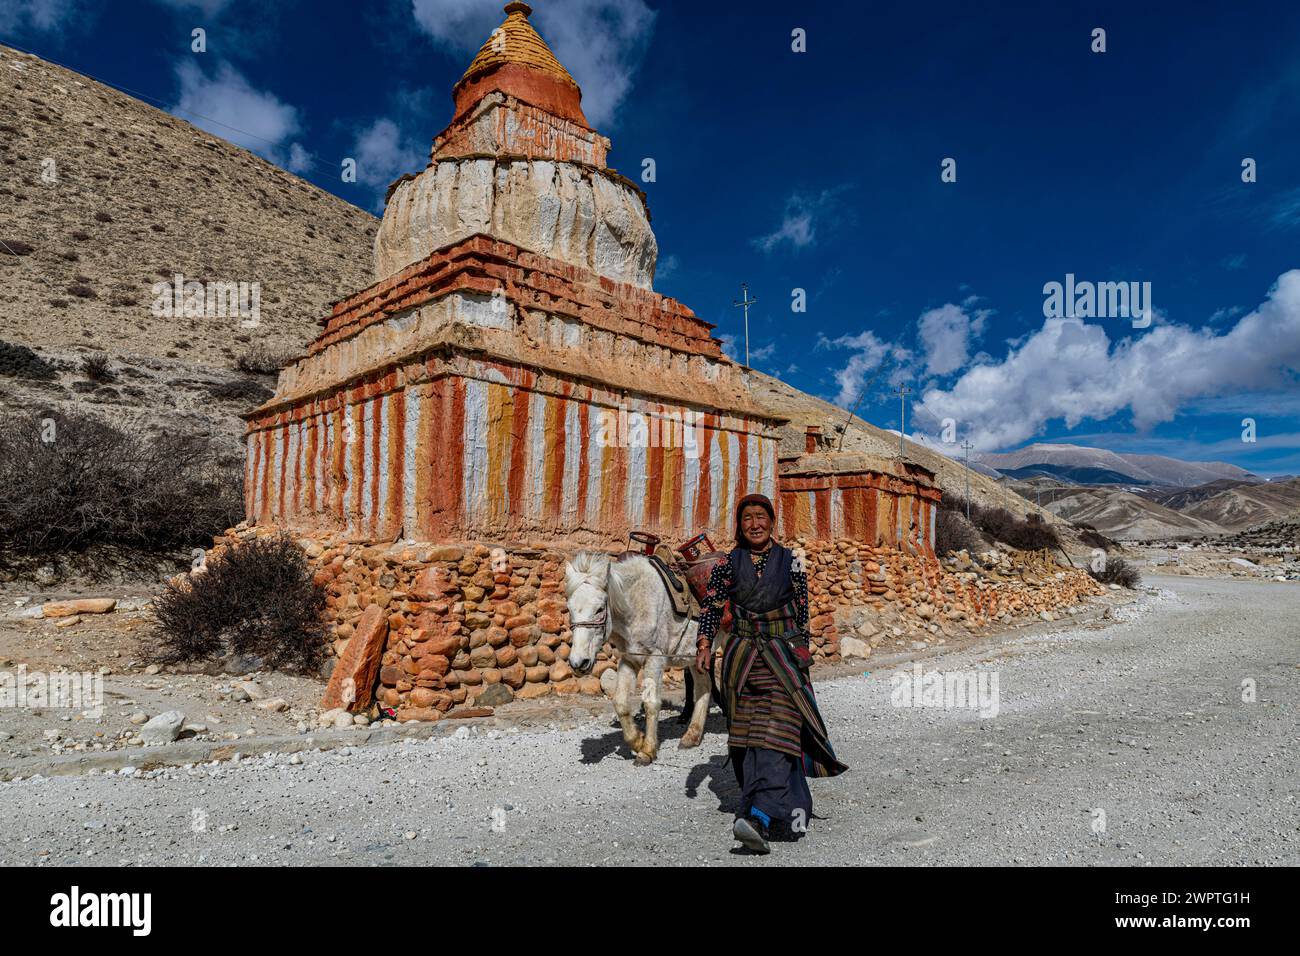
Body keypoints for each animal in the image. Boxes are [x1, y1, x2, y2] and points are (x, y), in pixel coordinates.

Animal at [566, 554, 717, 764]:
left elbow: (651, 703)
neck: (637, 603)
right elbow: (620, 702)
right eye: (569, 609)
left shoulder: (655, 659)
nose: (578, 663)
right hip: (697, 656)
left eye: (599, 609)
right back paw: (691, 737)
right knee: (704, 686)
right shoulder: (630, 659)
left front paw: (647, 750)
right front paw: (637, 740)